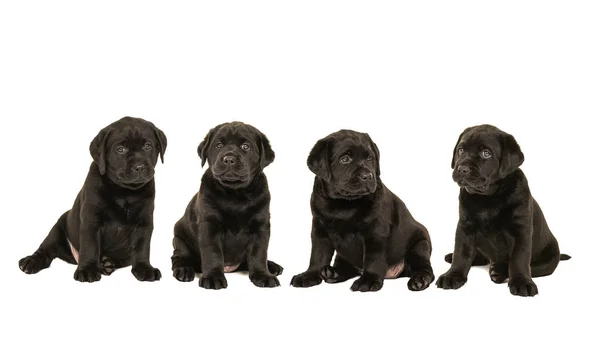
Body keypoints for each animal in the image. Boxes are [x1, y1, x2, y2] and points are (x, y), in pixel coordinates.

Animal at [18, 116, 166, 282]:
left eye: (147, 146)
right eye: (120, 149)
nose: (139, 167)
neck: (124, 192)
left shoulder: (144, 222)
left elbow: (142, 247)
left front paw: (144, 269)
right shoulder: (91, 220)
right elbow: (90, 246)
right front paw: (87, 269)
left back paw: (107, 263)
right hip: (57, 231)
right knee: (45, 251)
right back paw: (30, 261)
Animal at [171, 121, 284, 290]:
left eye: (245, 146)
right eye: (218, 145)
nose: (229, 159)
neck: (235, 194)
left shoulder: (261, 226)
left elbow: (258, 254)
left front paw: (263, 275)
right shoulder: (209, 225)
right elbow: (213, 253)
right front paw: (213, 277)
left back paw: (272, 266)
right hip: (179, 239)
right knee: (178, 257)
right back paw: (184, 270)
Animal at [290, 130, 432, 292]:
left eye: (370, 158)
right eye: (345, 159)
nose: (368, 176)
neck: (343, 204)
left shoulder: (375, 232)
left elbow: (373, 258)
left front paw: (369, 280)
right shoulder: (319, 230)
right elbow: (317, 255)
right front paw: (309, 275)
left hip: (420, 246)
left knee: (425, 268)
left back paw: (420, 280)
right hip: (342, 255)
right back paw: (333, 273)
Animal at [436, 125, 572, 296]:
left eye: (486, 153)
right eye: (460, 150)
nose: (462, 169)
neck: (488, 198)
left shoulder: (521, 230)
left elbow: (519, 259)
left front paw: (522, 282)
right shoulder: (465, 226)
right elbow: (461, 253)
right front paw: (452, 275)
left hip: (549, 260)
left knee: (529, 266)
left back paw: (499, 271)